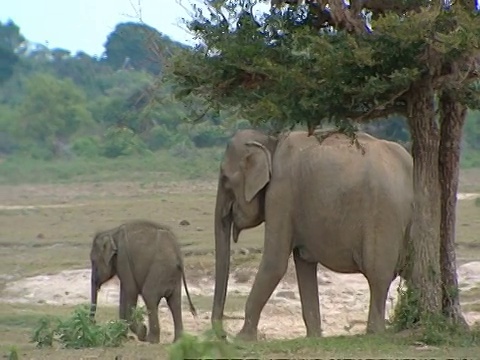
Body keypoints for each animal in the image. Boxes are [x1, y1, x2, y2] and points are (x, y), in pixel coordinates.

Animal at [212, 129, 414, 340]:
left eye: (225, 178)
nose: (223, 335)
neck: (271, 142)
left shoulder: (280, 193)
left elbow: (274, 263)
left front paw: (242, 339)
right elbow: (304, 265)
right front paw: (314, 337)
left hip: (383, 216)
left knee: (378, 274)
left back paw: (375, 333)